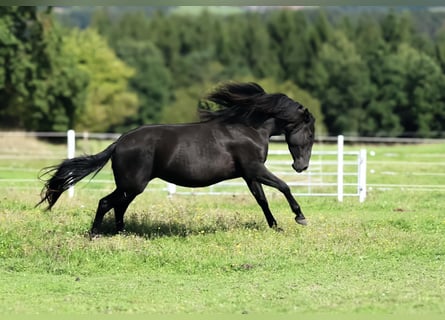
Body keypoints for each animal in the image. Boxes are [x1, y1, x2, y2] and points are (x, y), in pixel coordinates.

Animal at [39, 81, 316, 234]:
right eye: (311, 133)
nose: (300, 166)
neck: (249, 128)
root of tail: (119, 143)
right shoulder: (255, 169)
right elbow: (284, 186)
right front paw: (300, 217)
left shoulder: (249, 175)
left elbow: (262, 200)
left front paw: (275, 226)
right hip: (133, 184)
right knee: (106, 203)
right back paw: (95, 234)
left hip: (131, 187)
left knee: (119, 206)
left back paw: (122, 234)